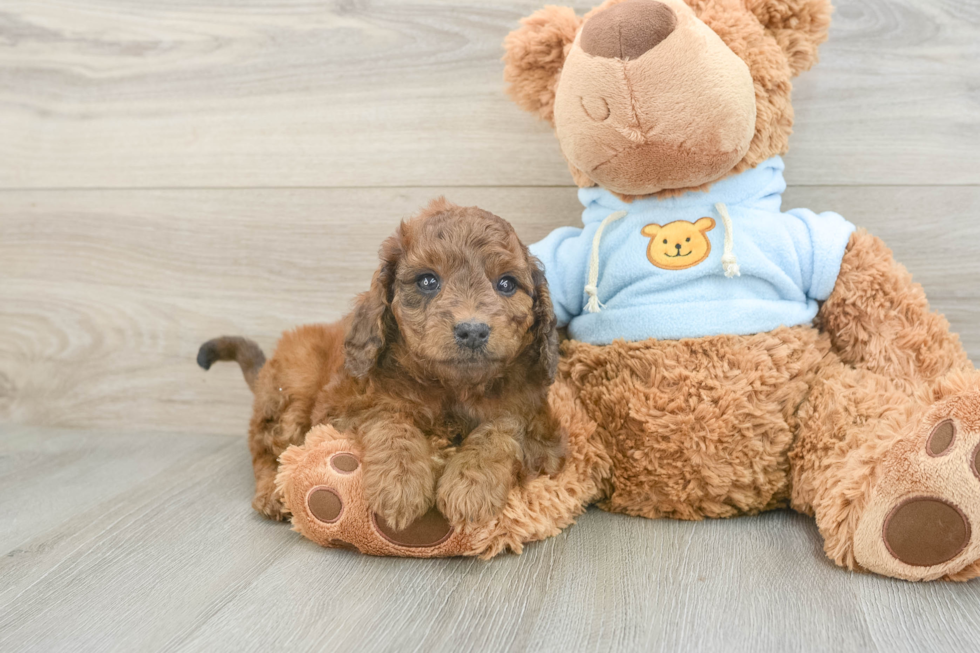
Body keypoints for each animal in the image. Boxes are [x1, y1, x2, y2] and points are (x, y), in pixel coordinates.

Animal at [198, 199, 560, 528]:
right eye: (428, 281)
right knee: (267, 448)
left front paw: (471, 487)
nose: (472, 330)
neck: (453, 387)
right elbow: (388, 419)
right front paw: (400, 485)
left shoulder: (544, 432)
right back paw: (271, 494)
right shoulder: (340, 409)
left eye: (507, 284)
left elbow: (503, 427)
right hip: (291, 389)